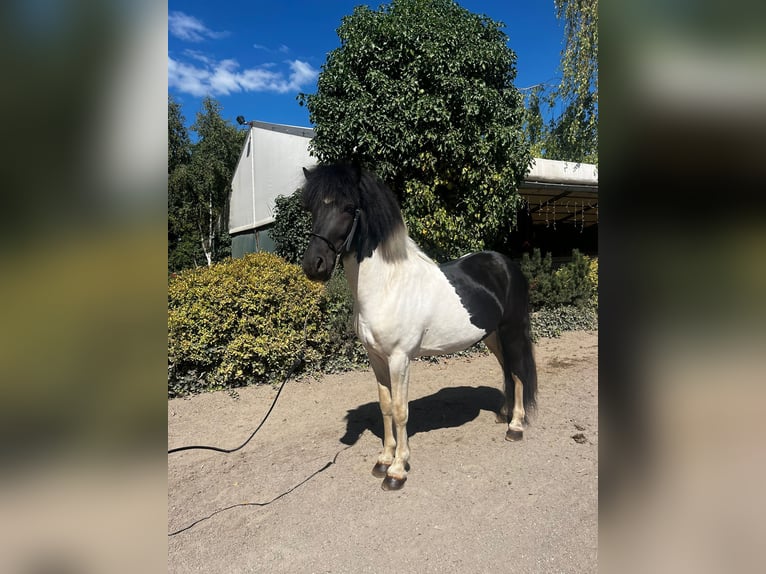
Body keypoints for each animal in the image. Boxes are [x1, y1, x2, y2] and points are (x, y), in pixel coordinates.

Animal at [300, 163, 537, 491]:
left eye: (348, 208)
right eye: (311, 208)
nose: (315, 265)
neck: (387, 286)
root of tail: (505, 264)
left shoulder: (399, 359)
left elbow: (401, 411)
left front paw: (397, 470)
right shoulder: (376, 359)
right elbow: (386, 406)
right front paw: (383, 460)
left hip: (512, 330)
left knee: (517, 373)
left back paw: (515, 426)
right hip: (492, 335)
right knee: (507, 370)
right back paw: (503, 414)